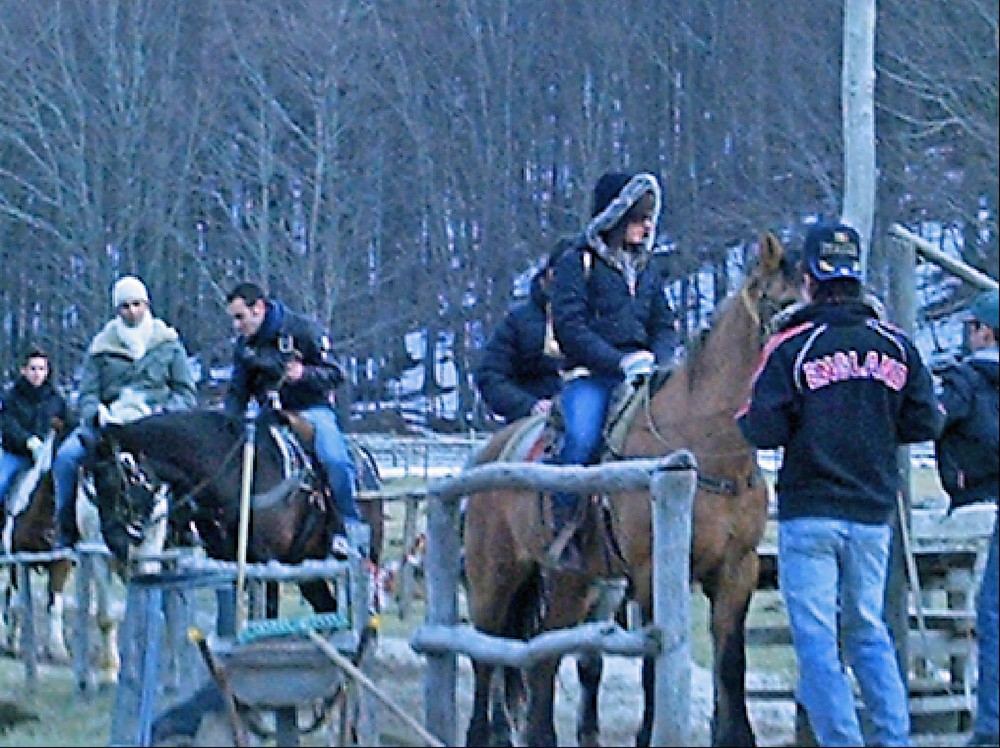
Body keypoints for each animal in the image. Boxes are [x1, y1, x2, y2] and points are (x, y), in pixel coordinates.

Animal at [462, 231, 804, 744]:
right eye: (781, 306)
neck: (702, 450)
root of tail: (488, 456)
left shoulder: (735, 572)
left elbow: (731, 665)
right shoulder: (649, 574)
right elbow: (651, 668)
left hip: (572, 580)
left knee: (545, 653)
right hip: (495, 576)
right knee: (486, 658)